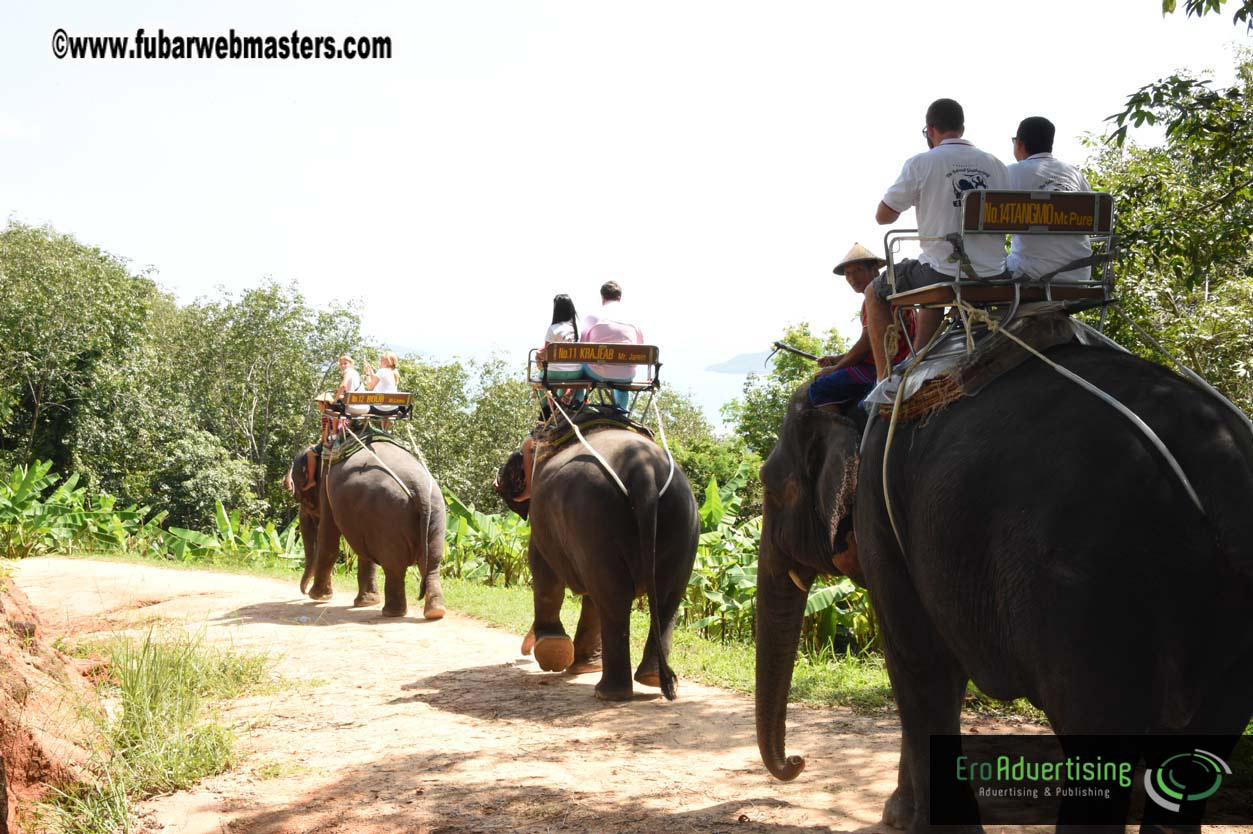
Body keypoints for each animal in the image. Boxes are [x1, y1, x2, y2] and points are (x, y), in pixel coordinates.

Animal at [286, 438, 446, 621]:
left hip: (390, 517)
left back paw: (391, 613)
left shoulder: (327, 491)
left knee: (394, 567)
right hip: (436, 514)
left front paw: (318, 596)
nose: (303, 592)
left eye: (298, 496)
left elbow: (328, 541)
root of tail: (419, 488)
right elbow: (363, 551)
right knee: (432, 563)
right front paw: (366, 603)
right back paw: (435, 612)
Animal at [493, 425, 701, 696]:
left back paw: (608, 692)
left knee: (614, 599)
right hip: (684, 518)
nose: (524, 652)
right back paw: (653, 679)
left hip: (593, 517)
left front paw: (554, 651)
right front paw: (579, 666)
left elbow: (542, 569)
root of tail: (644, 472)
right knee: (667, 598)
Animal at [751, 340, 1253, 831]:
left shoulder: (884, 521)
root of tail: (1220, 479)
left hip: (1089, 593)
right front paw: (900, 816)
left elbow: (919, 664)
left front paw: (908, 821)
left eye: (770, 488)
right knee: (1200, 746)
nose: (797, 762)